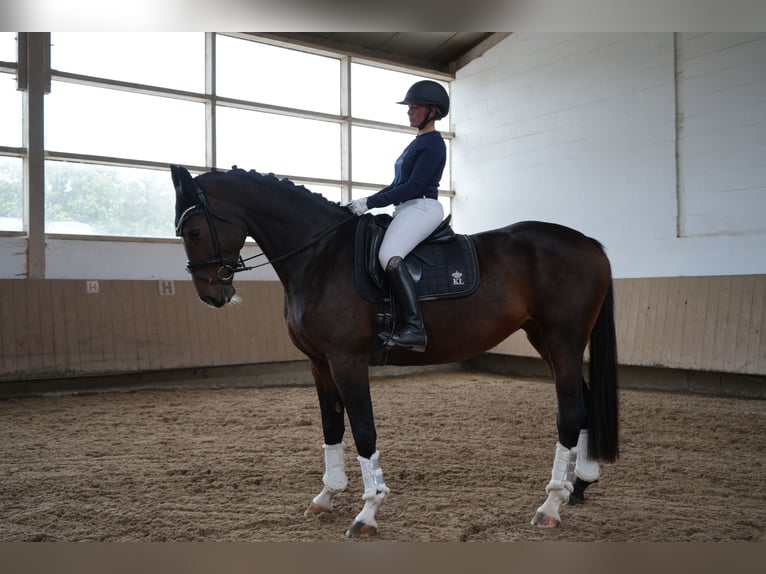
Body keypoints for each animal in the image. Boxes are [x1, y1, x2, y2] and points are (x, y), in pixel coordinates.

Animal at [171, 164, 619, 537]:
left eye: (193, 231)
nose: (212, 295)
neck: (320, 256)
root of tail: (587, 242)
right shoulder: (319, 363)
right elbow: (331, 427)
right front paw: (326, 497)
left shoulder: (347, 361)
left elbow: (363, 430)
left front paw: (368, 512)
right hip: (543, 338)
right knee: (583, 403)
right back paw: (579, 487)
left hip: (562, 338)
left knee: (569, 412)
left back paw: (551, 505)